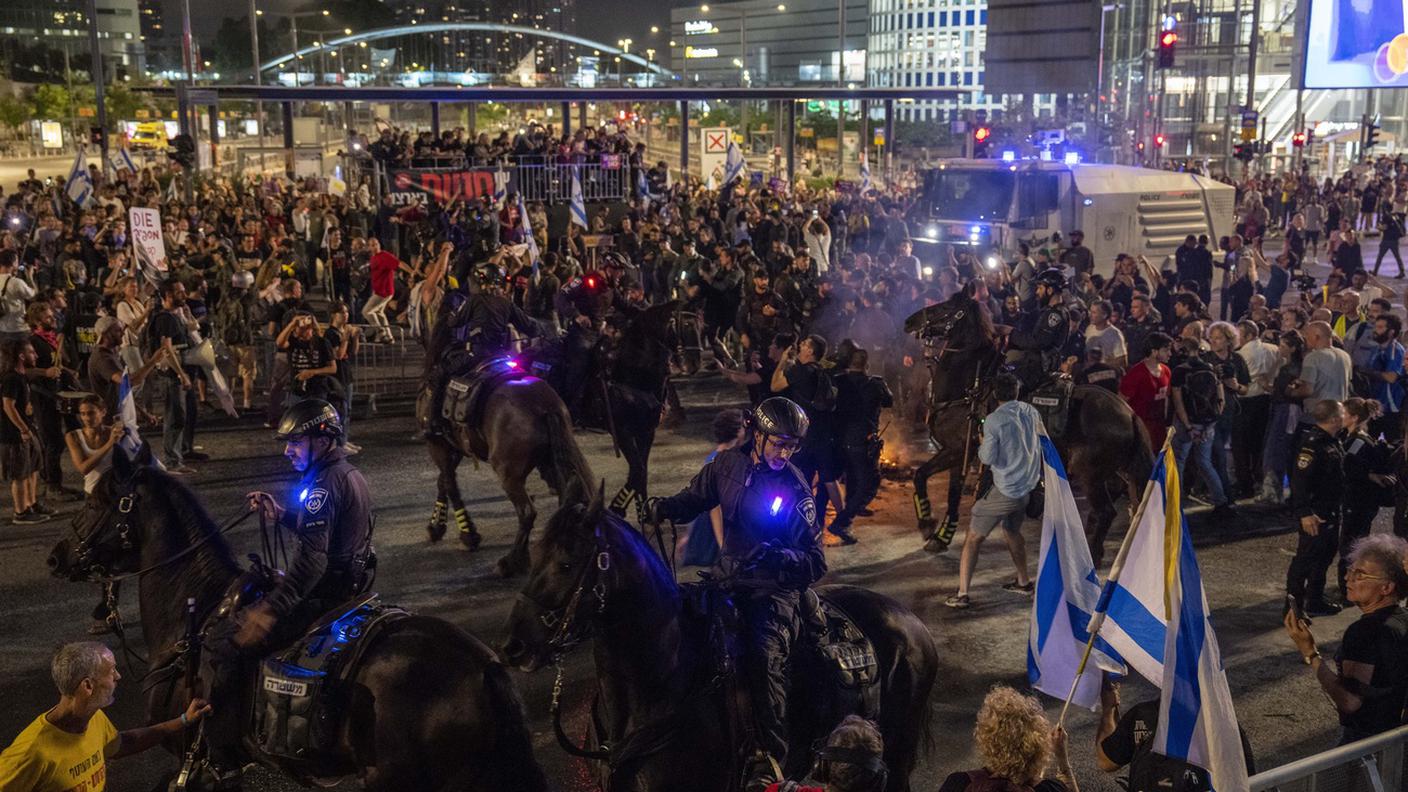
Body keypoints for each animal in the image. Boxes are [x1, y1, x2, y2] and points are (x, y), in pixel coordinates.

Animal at [501, 487, 940, 789]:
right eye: (535, 556)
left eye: (566, 562)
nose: (513, 646)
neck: (664, 684)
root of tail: (912, 623)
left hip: (897, 753)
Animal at [906, 293, 1148, 563]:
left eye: (947, 306)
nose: (909, 321)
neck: (968, 388)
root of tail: (1129, 413)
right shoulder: (958, 453)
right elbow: (946, 491)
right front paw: (940, 536)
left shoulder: (957, 450)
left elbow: (922, 476)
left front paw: (927, 525)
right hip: (1115, 471)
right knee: (1108, 506)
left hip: (1090, 473)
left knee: (1105, 511)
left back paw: (1093, 556)